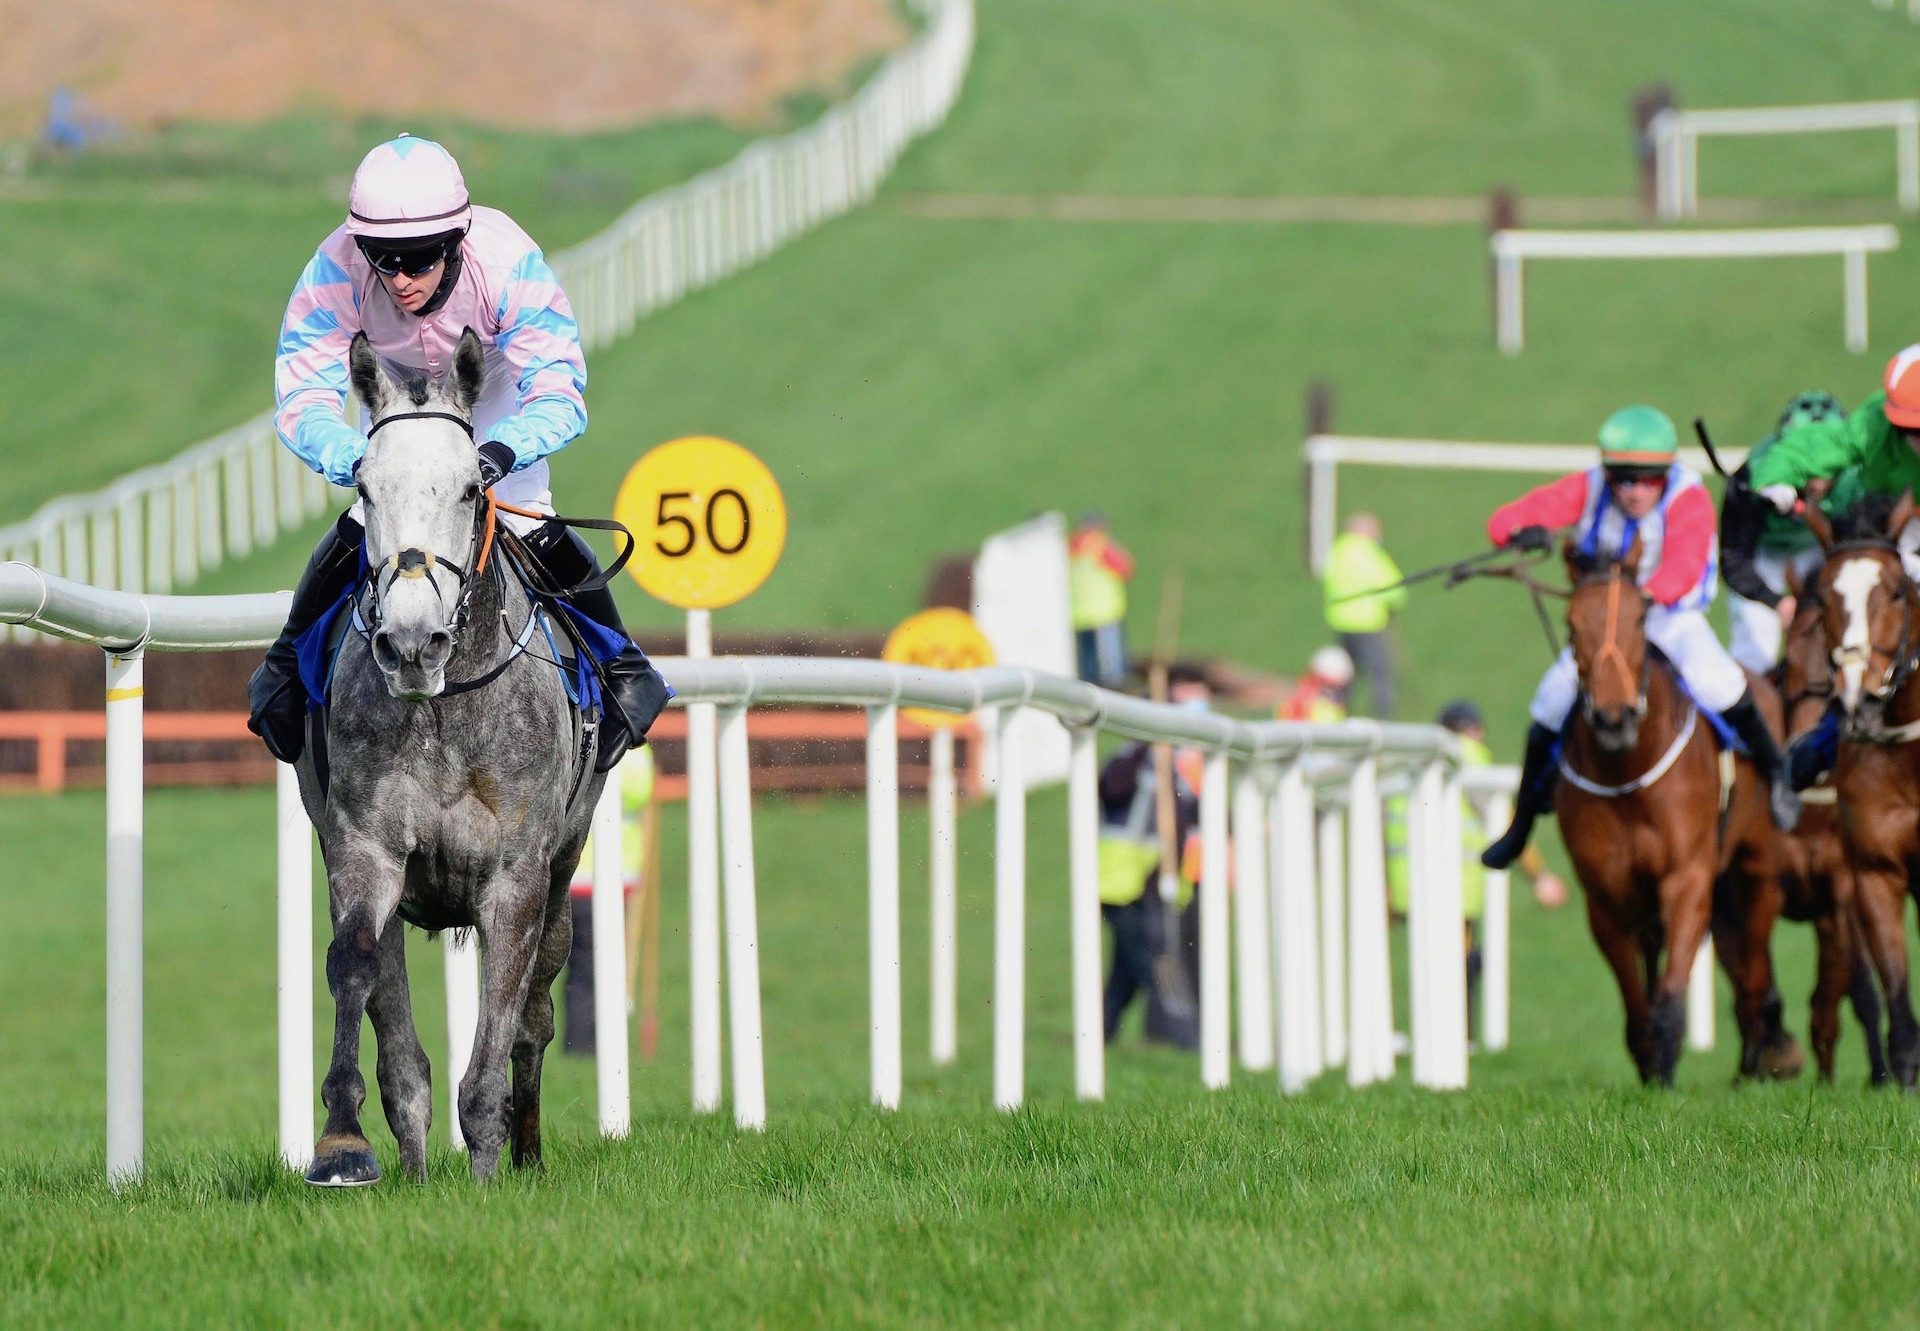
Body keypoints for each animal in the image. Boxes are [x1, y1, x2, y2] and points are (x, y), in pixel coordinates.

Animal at [299, 332, 602, 1183]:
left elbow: (500, 1032)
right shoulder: (363, 849)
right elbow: (357, 968)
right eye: (365, 486)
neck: (443, 711)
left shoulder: (517, 875)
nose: (409, 642)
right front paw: (344, 1142)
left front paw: (490, 1170)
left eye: (472, 487)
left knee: (536, 1013)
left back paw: (527, 1152)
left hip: (568, 863)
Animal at [1559, 541, 1797, 1083]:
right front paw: (1650, 1065)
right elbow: (1637, 1006)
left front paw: (1665, 1071)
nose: (1614, 718)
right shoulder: (1607, 896)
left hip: (1756, 868)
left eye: (1640, 616)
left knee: (1755, 965)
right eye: (1570, 623)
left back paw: (1763, 1055)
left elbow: (1669, 998)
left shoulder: (1687, 877)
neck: (1626, 775)